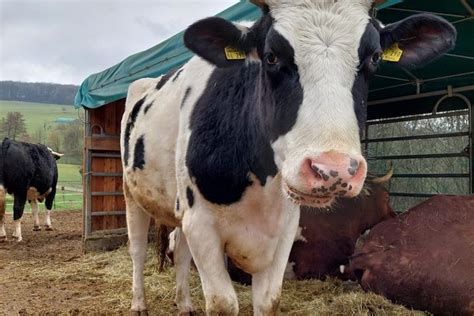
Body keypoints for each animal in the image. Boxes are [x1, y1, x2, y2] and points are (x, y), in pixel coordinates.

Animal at [121, 0, 456, 314]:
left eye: (374, 57)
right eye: (271, 56)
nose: (333, 170)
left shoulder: (283, 231)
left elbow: (268, 301)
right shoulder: (201, 225)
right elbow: (223, 303)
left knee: (179, 251)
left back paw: (184, 304)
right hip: (132, 194)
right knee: (137, 249)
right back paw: (138, 303)